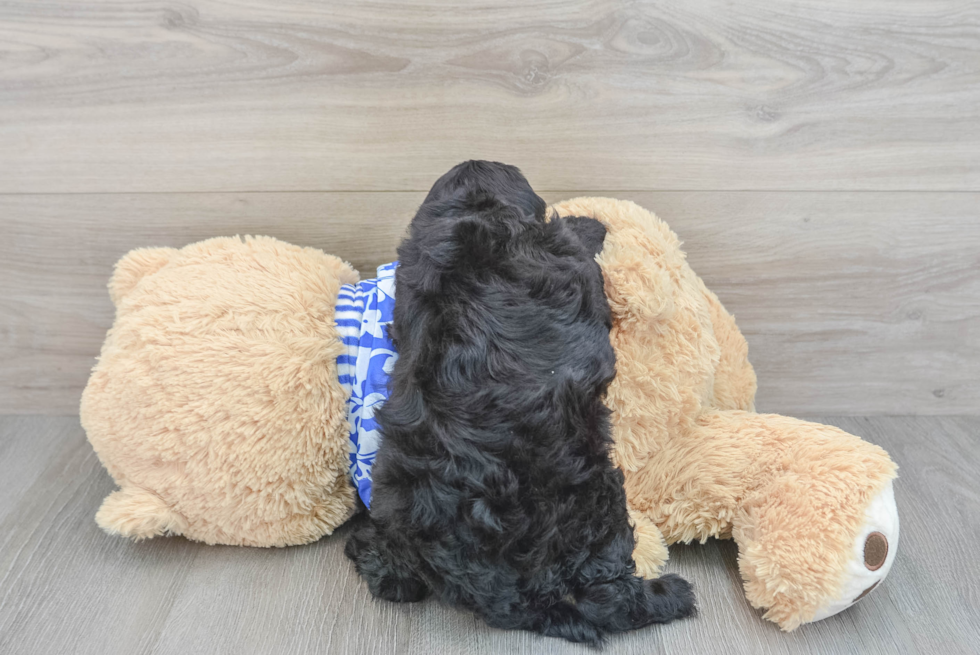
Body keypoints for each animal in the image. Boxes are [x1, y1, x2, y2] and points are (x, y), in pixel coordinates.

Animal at [346, 161, 696, 644]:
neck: (475, 217)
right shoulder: (573, 265)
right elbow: (583, 252)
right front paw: (591, 224)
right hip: (596, 497)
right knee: (609, 596)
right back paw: (669, 594)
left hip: (395, 498)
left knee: (397, 581)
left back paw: (366, 549)